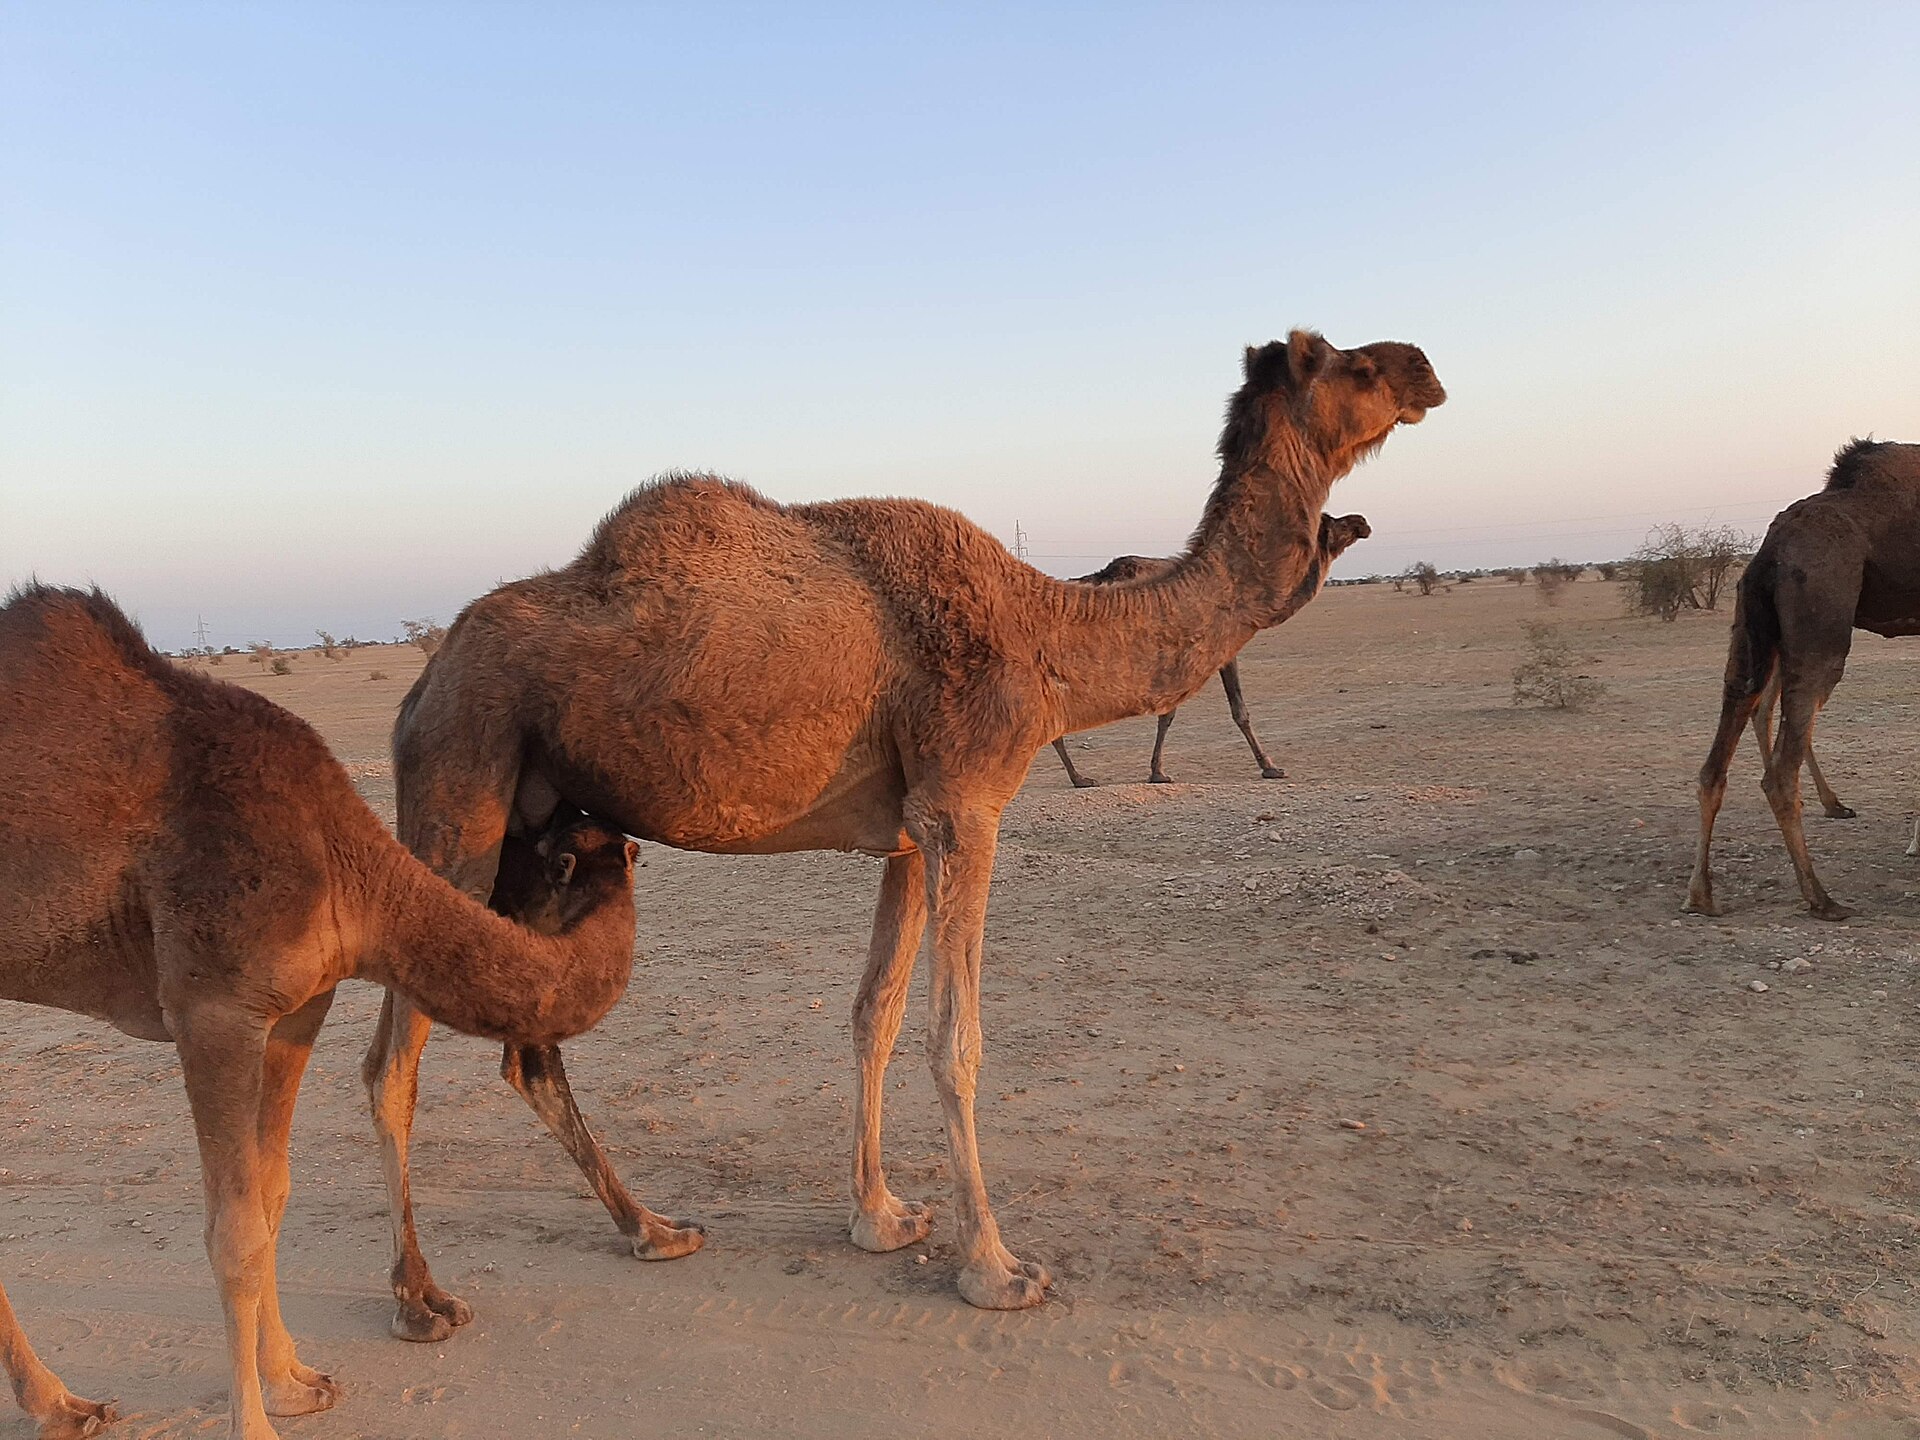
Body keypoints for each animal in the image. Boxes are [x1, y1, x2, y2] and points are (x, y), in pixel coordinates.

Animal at [0, 585, 641, 1440]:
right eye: (552, 844)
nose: (630, 835)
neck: (344, 861)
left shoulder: (297, 1007)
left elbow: (272, 1196)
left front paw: (295, 1383)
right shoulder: (213, 1009)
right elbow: (234, 1229)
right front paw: (255, 1422)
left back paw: (62, 1406)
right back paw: (61, 1401)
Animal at [1049, 512, 1372, 786]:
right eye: (1333, 521)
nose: (1362, 522)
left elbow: (1168, 714)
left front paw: (1157, 772)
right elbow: (1236, 709)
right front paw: (1270, 767)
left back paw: (1078, 777)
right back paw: (1079, 777)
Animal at [1686, 439, 1920, 919]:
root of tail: (1770, 550)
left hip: (1749, 629)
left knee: (1718, 756)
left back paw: (1701, 894)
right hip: (1821, 620)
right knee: (1780, 765)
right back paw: (1821, 897)